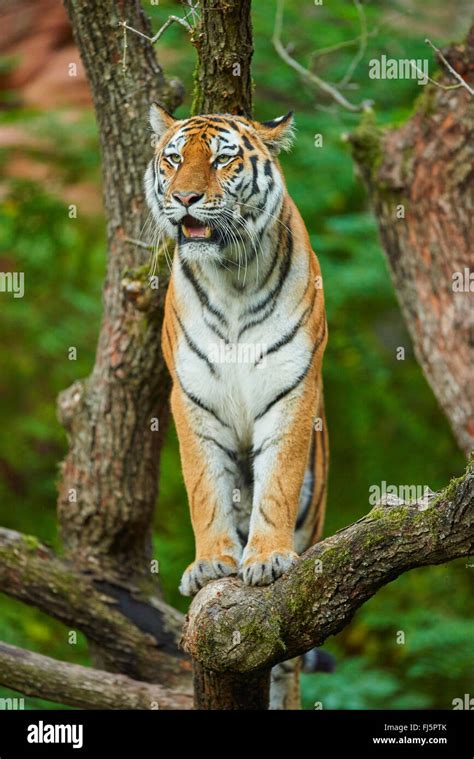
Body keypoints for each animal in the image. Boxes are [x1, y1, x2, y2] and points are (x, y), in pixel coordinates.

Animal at [144, 105, 328, 604]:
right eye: (173, 159)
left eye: (222, 159)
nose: (184, 196)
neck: (232, 281)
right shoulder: (193, 397)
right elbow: (205, 488)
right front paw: (211, 563)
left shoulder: (291, 387)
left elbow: (278, 481)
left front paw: (268, 558)